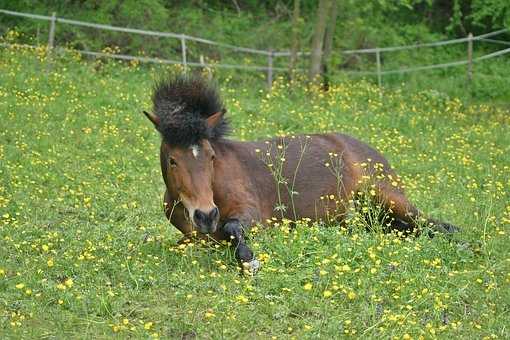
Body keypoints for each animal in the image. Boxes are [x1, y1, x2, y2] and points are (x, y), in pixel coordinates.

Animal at [142, 75, 458, 272]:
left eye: (210, 156)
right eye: (173, 160)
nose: (206, 216)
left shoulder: (254, 215)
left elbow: (233, 229)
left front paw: (249, 261)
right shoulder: (194, 235)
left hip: (389, 198)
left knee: (437, 225)